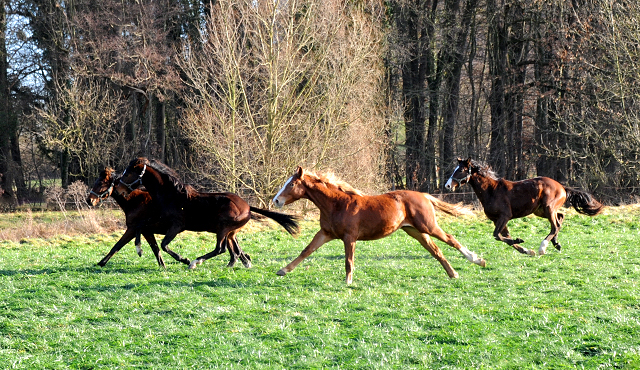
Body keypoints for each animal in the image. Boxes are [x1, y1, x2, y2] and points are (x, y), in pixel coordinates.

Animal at [87, 168, 250, 268]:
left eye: (101, 183)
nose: (89, 200)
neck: (135, 201)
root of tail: (246, 206)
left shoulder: (135, 229)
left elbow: (118, 245)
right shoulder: (146, 230)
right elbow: (156, 248)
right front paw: (162, 265)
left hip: (221, 229)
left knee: (224, 248)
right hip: (225, 231)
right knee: (234, 247)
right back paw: (244, 260)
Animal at [114, 156, 300, 268]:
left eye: (128, 173)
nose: (119, 188)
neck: (170, 195)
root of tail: (247, 207)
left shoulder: (176, 226)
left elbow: (164, 245)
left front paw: (185, 259)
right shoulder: (157, 221)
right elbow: (140, 226)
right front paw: (139, 249)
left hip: (222, 228)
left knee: (221, 249)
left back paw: (196, 262)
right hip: (230, 232)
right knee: (233, 250)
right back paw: (236, 264)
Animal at [270, 166, 484, 284]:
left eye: (291, 184)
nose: (276, 201)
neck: (336, 203)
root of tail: (424, 195)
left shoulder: (349, 237)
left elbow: (349, 260)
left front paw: (348, 282)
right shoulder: (325, 233)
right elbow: (306, 250)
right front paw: (283, 270)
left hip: (427, 226)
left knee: (450, 239)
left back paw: (477, 260)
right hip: (415, 231)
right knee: (436, 250)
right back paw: (453, 273)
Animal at [444, 158, 604, 256]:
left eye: (460, 170)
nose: (447, 185)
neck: (491, 190)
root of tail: (562, 187)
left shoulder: (505, 216)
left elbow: (497, 235)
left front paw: (520, 241)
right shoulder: (497, 220)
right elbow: (503, 236)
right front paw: (526, 250)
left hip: (548, 207)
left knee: (555, 226)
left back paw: (543, 247)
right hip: (540, 211)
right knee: (560, 217)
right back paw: (556, 244)